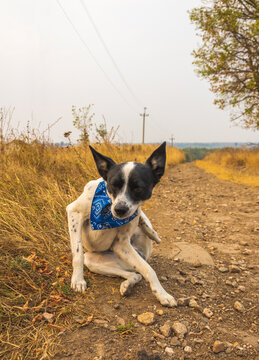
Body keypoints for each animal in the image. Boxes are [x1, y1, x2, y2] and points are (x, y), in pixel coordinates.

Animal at [66, 142, 178, 306]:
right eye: (113, 185)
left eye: (138, 188)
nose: (119, 210)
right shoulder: (74, 212)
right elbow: (78, 253)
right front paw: (78, 280)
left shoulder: (121, 244)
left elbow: (149, 270)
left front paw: (162, 294)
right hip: (92, 260)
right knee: (132, 273)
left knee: (137, 273)